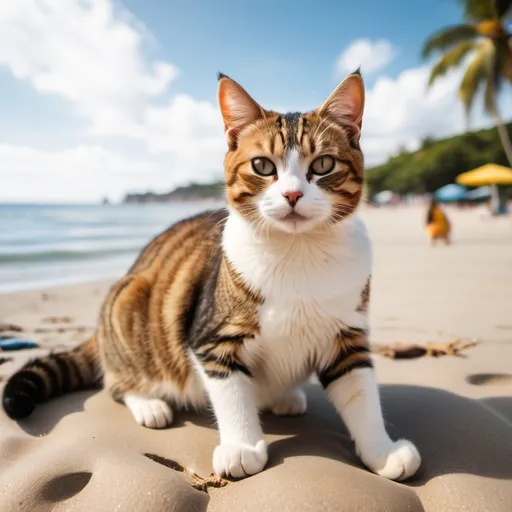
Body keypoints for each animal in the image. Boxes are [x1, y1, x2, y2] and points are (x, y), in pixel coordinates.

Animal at [3, 70, 420, 482]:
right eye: (263, 166)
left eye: (323, 165)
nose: (292, 196)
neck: (298, 251)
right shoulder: (213, 336)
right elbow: (231, 393)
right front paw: (242, 447)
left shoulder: (347, 335)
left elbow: (361, 394)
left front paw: (381, 452)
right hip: (128, 304)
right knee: (117, 383)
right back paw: (149, 404)